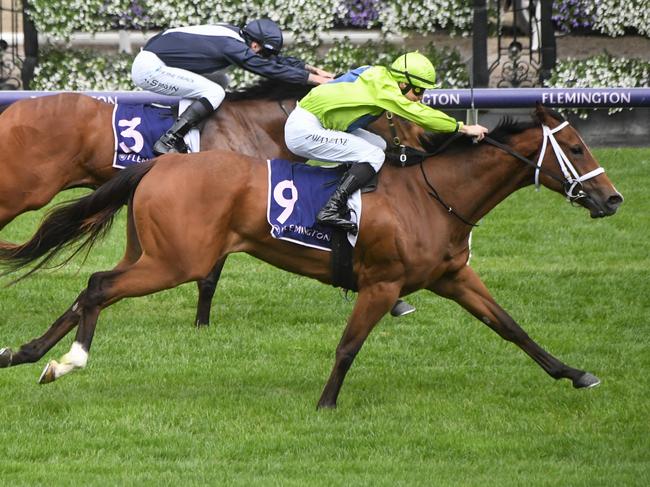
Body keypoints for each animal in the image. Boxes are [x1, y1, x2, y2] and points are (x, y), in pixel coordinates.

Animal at [0, 82, 420, 326]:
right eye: (399, 112)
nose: (419, 148)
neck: (256, 125)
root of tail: (14, 110)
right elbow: (210, 276)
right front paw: (202, 323)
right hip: (19, 192)